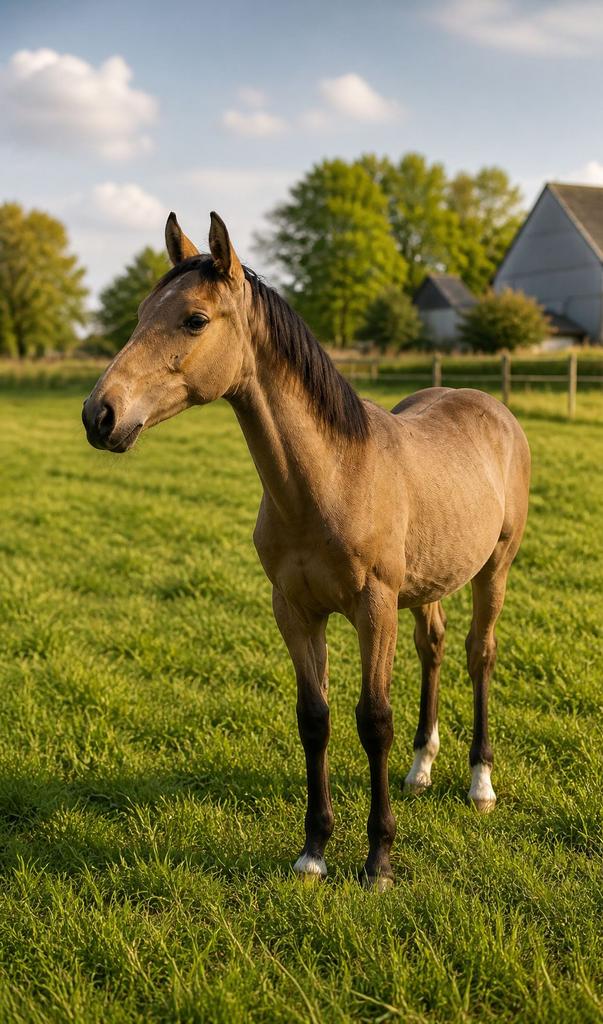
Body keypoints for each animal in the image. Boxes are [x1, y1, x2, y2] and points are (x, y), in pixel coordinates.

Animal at [82, 212, 531, 889]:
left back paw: (480, 783)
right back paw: (422, 769)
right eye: (139, 314)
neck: (332, 477)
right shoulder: (294, 611)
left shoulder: (374, 609)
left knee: (480, 655)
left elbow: (374, 721)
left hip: (493, 570)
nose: (99, 415)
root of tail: (492, 408)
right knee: (434, 647)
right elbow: (314, 718)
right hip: (427, 583)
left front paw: (378, 861)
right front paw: (314, 851)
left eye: (194, 319)